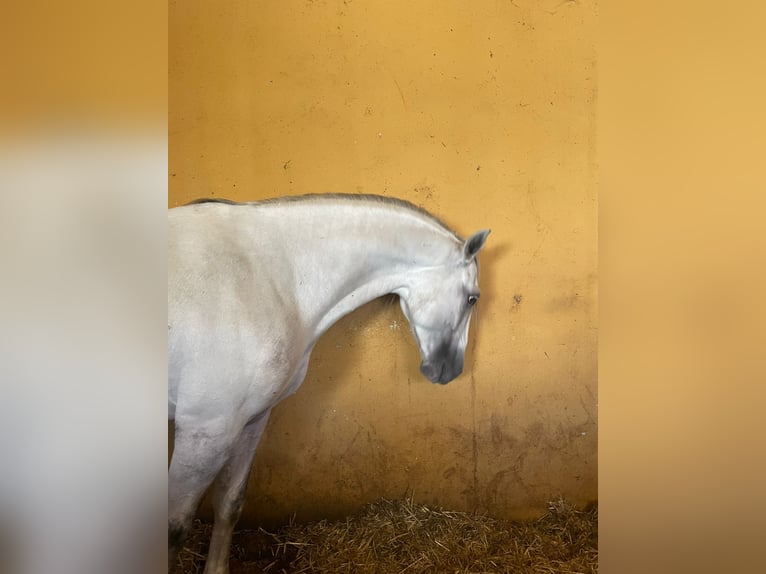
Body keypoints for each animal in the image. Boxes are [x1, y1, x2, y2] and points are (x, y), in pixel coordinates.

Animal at [170, 196, 492, 572]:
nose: (450, 370)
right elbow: (174, 528)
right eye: (473, 298)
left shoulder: (250, 420)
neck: (268, 276)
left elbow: (229, 503)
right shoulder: (205, 429)